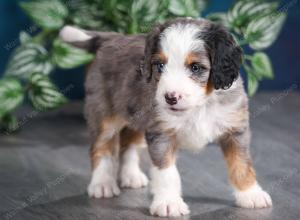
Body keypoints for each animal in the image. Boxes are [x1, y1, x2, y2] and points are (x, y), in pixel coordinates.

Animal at [59, 18, 274, 217]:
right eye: (160, 65)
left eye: (196, 67)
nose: (170, 97)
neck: (199, 106)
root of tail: (112, 37)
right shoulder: (161, 132)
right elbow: (167, 172)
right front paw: (169, 203)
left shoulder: (235, 130)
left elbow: (241, 164)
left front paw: (250, 194)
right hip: (105, 115)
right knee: (100, 148)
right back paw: (102, 184)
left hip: (136, 114)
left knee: (129, 143)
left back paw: (131, 175)